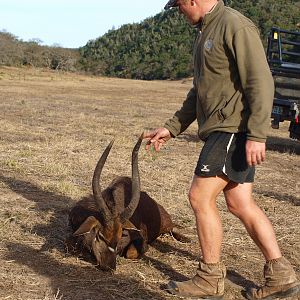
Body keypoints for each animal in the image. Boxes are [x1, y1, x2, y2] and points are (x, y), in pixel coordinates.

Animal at [66, 132, 189, 270]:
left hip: (166, 226)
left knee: (171, 229)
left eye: (120, 236)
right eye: (100, 236)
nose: (109, 266)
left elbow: (131, 253)